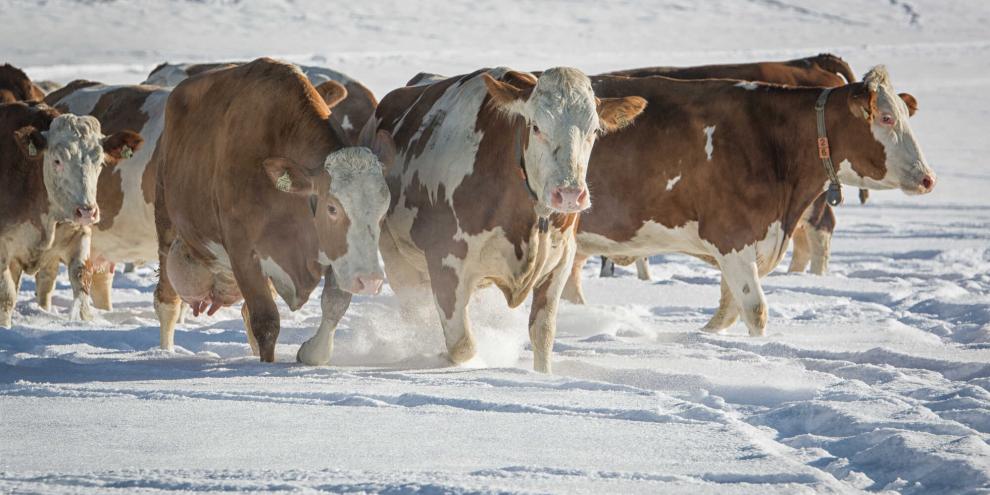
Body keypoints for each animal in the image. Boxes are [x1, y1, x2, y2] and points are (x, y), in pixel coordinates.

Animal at [0, 101, 142, 327]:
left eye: (100, 162)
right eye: (57, 161)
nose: (86, 211)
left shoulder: (79, 235)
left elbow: (82, 283)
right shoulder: (3, 248)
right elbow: (6, 296)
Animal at [365, 67, 647, 373]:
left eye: (594, 130)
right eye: (536, 126)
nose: (570, 194)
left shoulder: (560, 261)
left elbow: (543, 334)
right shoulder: (446, 262)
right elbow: (462, 345)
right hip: (396, 258)